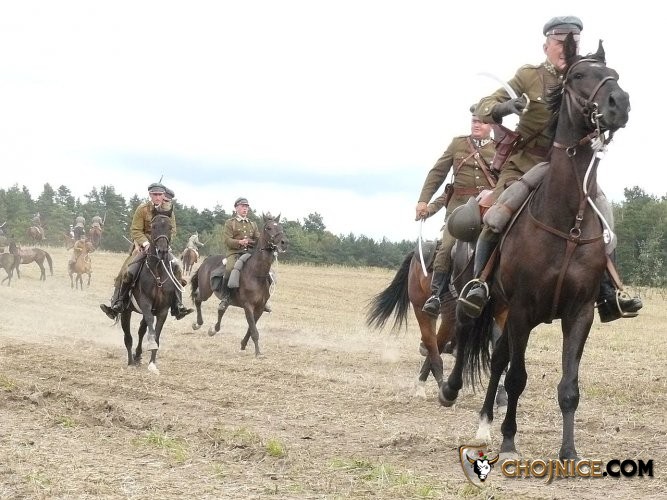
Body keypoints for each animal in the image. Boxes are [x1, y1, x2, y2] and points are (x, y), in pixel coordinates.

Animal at [120, 205, 179, 374]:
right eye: (153, 226)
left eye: (170, 227)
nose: (163, 251)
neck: (157, 271)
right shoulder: (146, 304)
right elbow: (151, 326)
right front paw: (150, 346)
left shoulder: (163, 309)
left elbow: (156, 332)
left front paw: (152, 363)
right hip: (125, 311)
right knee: (128, 336)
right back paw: (131, 361)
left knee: (141, 331)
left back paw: (138, 356)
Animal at [190, 214, 287, 355]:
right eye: (268, 228)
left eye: (281, 227)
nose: (284, 243)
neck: (256, 274)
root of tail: (207, 260)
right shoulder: (248, 306)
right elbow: (254, 330)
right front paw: (258, 353)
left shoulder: (259, 308)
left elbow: (251, 328)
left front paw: (243, 344)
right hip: (205, 292)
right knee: (198, 300)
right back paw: (198, 324)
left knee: (221, 309)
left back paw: (213, 329)